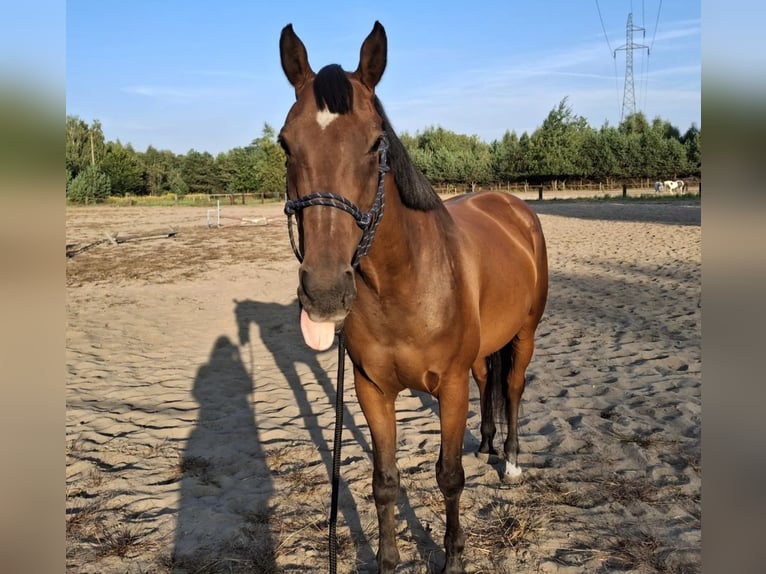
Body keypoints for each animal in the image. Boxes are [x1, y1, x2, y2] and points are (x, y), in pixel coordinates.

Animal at [280, 21, 548, 574]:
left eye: (375, 143)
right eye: (285, 143)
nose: (324, 292)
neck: (401, 288)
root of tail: (513, 206)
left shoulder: (449, 388)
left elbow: (449, 477)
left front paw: (454, 557)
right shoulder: (371, 391)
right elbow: (385, 483)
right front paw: (387, 561)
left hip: (526, 332)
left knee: (512, 386)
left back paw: (510, 459)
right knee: (489, 378)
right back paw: (486, 443)